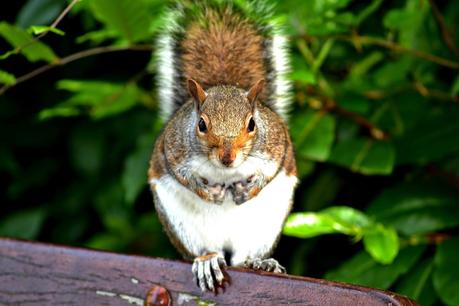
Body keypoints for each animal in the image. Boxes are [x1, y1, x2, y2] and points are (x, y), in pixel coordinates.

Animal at [148, 0, 298, 292]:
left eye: (252, 124)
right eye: (201, 125)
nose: (228, 158)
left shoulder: (278, 144)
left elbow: (271, 171)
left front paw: (251, 187)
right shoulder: (172, 149)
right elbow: (183, 176)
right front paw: (206, 191)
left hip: (265, 224)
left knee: (243, 258)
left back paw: (259, 263)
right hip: (183, 224)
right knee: (207, 250)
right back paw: (207, 260)